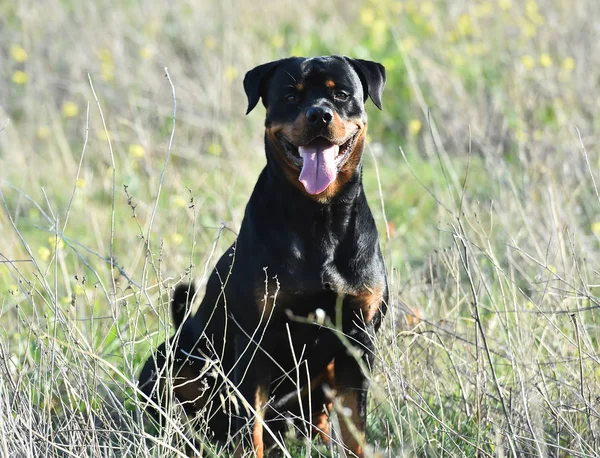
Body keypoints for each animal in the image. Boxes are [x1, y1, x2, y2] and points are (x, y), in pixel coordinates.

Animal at [138, 55, 386, 456]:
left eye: (342, 95)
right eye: (291, 95)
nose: (319, 115)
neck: (318, 216)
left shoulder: (357, 341)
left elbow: (355, 431)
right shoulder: (254, 342)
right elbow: (248, 429)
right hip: (174, 361)